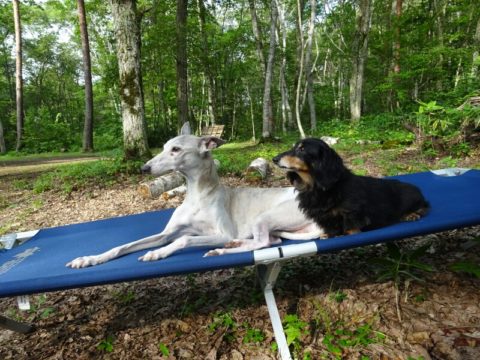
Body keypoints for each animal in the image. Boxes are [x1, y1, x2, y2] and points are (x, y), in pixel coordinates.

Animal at [272, 139, 430, 238]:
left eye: (302, 149)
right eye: (294, 147)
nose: (274, 159)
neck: (317, 187)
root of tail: (418, 190)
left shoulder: (352, 213)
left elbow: (351, 228)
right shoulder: (324, 217)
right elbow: (331, 227)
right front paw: (329, 234)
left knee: (425, 207)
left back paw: (412, 214)